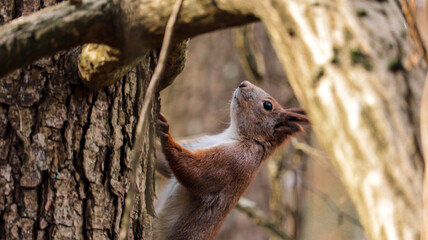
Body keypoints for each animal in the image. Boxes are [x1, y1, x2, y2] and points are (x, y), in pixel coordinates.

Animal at [155, 81, 310, 240]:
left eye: (268, 105)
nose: (244, 83)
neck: (232, 135)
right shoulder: (197, 144)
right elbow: (166, 166)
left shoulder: (234, 162)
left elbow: (196, 173)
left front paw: (166, 134)